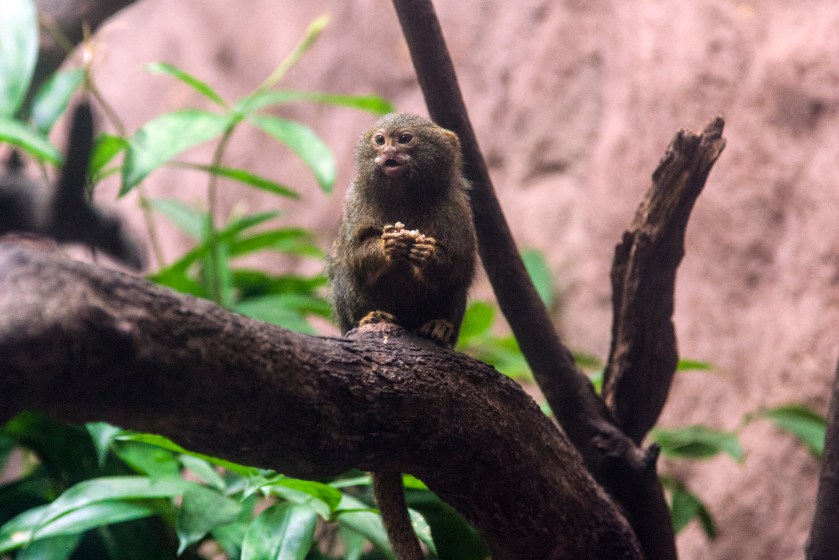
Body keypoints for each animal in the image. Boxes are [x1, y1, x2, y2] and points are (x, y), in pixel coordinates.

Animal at [327, 113, 477, 560]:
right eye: (380, 140)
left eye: (405, 139)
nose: (388, 153)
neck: (404, 195)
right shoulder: (357, 207)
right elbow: (358, 255)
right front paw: (389, 245)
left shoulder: (455, 213)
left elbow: (454, 264)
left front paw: (424, 255)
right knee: (346, 275)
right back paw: (372, 316)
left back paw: (438, 328)